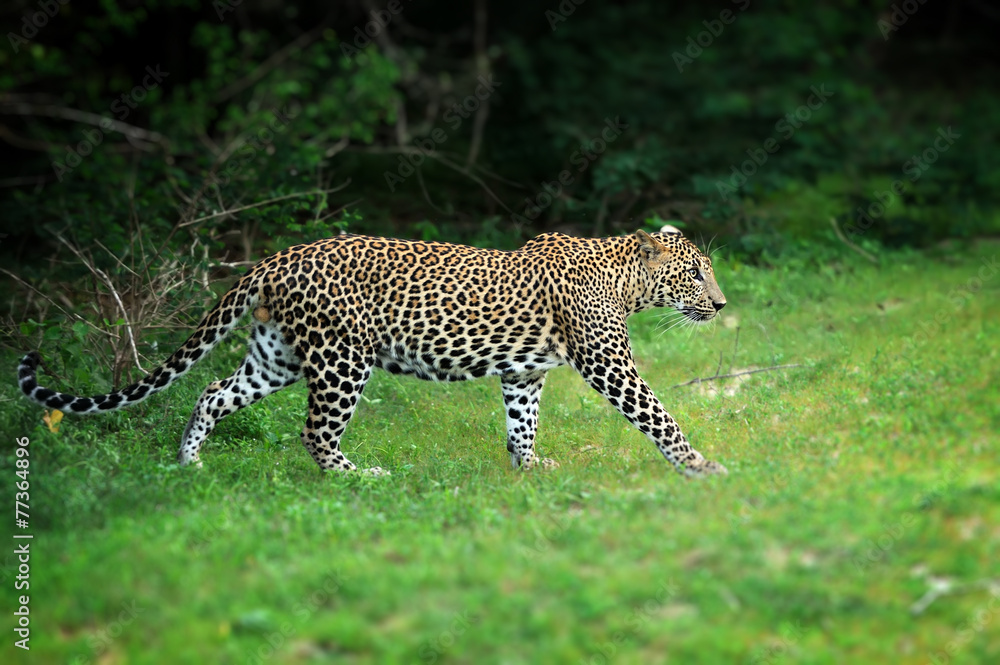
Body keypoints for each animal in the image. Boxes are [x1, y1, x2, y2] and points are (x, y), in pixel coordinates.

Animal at [17, 226, 728, 477]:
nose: (721, 306)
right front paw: (701, 466)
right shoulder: (609, 363)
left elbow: (521, 425)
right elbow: (658, 415)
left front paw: (529, 469)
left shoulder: (523, 375)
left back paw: (189, 464)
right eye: (696, 274)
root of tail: (276, 257)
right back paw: (357, 477)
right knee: (314, 431)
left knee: (212, 392)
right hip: (340, 359)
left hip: (276, 356)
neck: (625, 278)